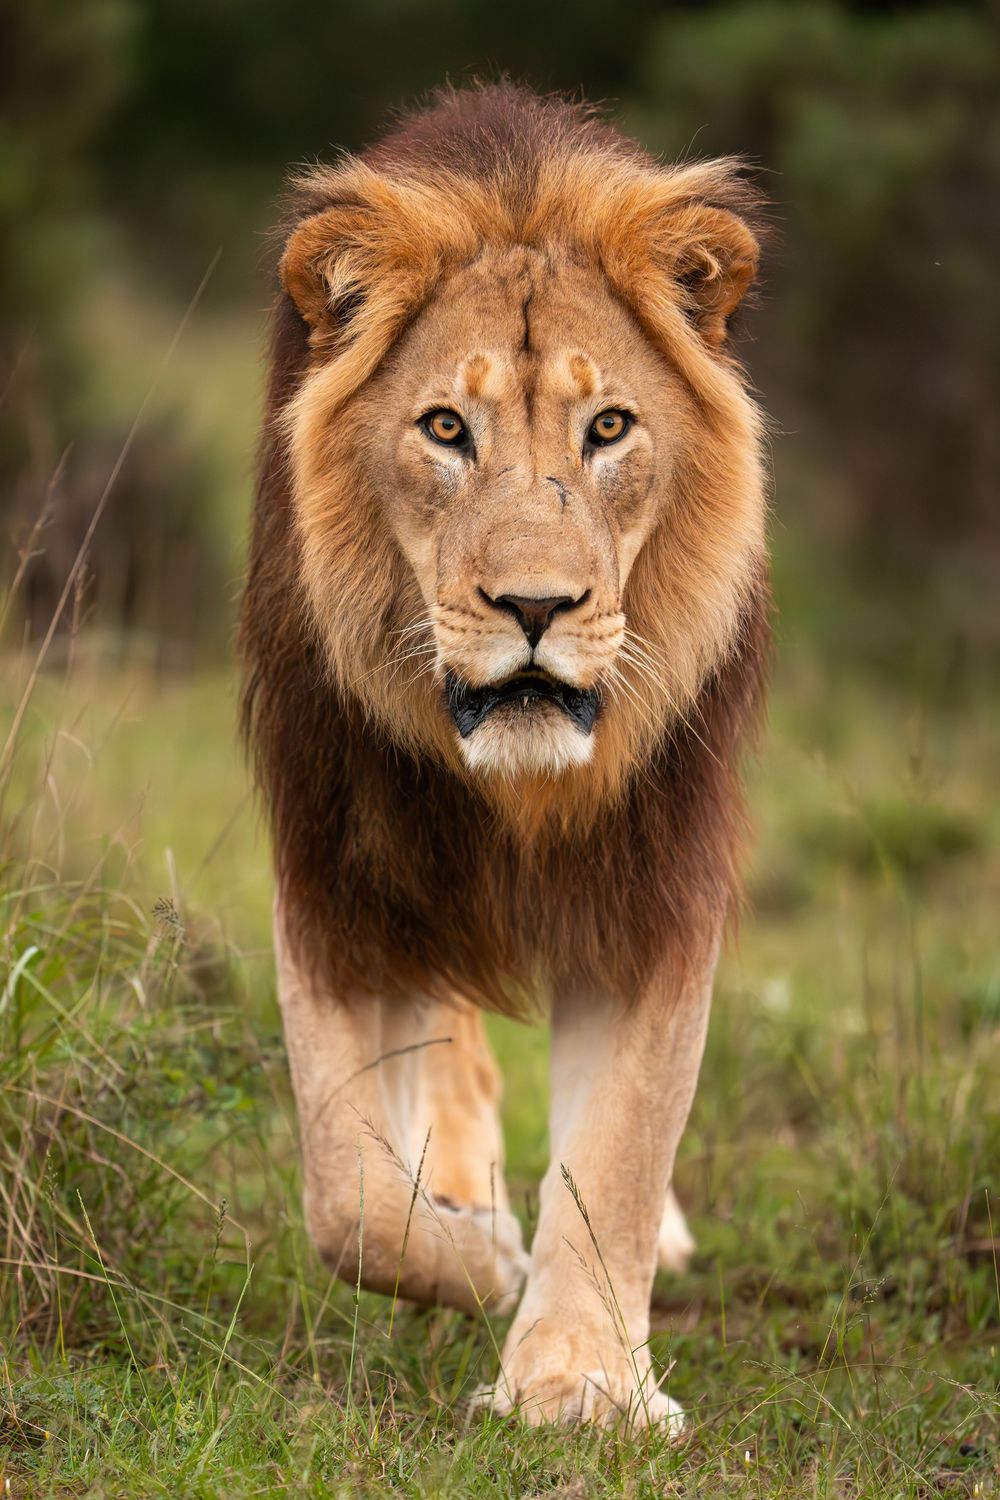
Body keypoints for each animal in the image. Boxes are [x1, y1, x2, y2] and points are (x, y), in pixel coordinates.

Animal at [240, 84, 770, 1431]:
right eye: (444, 428)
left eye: (609, 427)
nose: (536, 606)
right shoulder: (337, 881)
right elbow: (348, 1197)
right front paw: (478, 1257)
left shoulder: (653, 893)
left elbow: (621, 1148)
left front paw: (579, 1378)